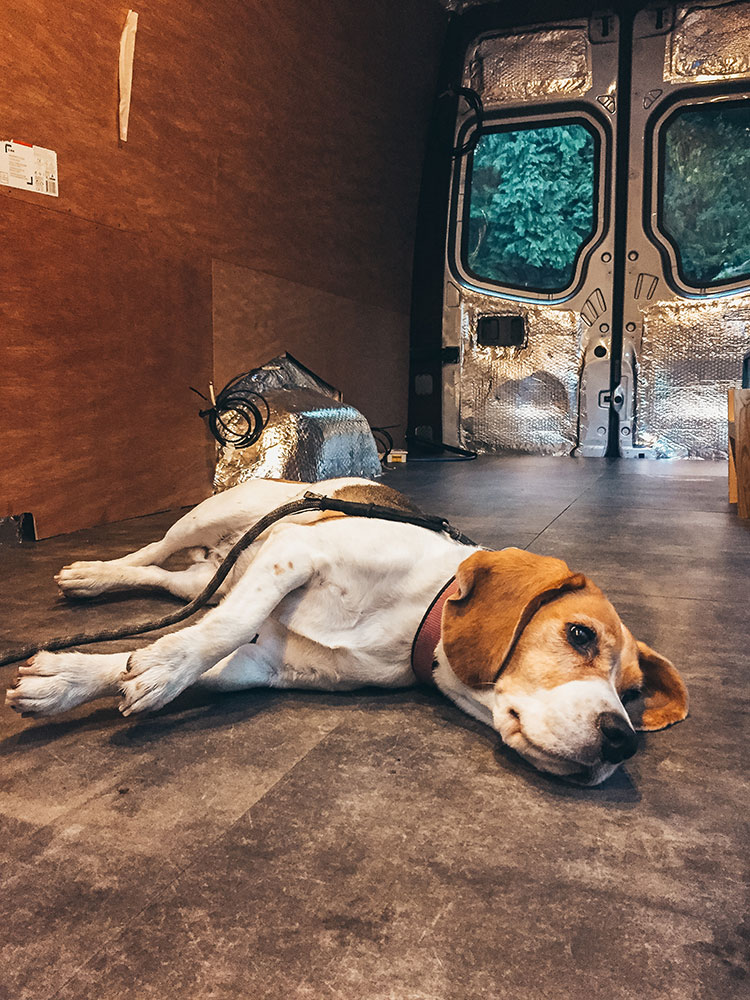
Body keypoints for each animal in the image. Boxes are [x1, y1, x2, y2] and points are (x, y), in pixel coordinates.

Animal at [4, 480, 688, 784]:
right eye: (579, 636)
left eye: (632, 694)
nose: (622, 742)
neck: (419, 614)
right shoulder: (296, 555)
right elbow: (223, 628)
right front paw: (157, 668)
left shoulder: (264, 664)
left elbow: (180, 648)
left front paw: (69, 677)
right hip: (211, 516)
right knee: (152, 554)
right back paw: (93, 573)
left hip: (209, 576)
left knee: (177, 585)